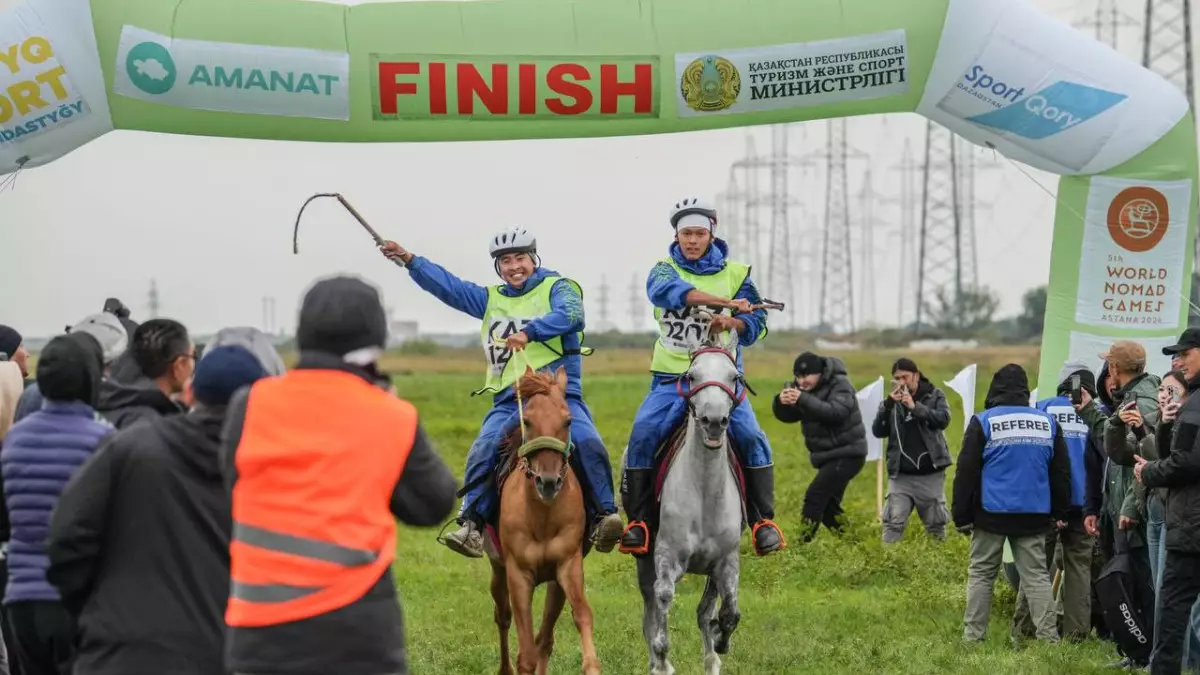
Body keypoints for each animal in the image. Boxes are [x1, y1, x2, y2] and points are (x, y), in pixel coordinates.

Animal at [484, 365, 600, 672]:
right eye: (527, 420)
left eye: (568, 420)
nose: (548, 482)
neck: (542, 517)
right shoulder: (518, 575)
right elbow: (525, 652)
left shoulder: (567, 566)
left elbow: (581, 614)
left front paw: (592, 665)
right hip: (498, 571)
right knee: (503, 617)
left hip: (553, 583)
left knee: (545, 638)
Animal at [624, 324, 744, 667]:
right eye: (691, 375)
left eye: (734, 376)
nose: (714, 421)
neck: (704, 490)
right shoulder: (666, 558)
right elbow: (662, 604)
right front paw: (662, 660)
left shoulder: (726, 562)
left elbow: (730, 611)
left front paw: (721, 641)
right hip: (644, 561)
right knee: (650, 613)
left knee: (705, 612)